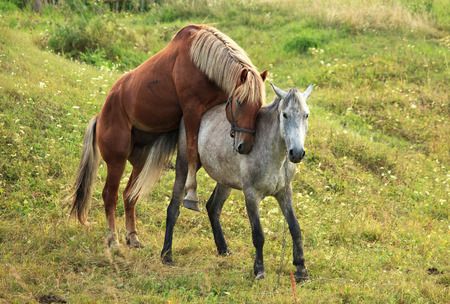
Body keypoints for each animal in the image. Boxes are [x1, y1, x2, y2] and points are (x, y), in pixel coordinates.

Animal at [70, 23, 268, 247]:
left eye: (259, 106)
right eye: (240, 102)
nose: (245, 145)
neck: (200, 64)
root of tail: (100, 117)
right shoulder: (191, 111)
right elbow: (192, 152)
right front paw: (191, 195)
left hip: (140, 160)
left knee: (129, 194)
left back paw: (132, 236)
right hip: (116, 161)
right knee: (109, 196)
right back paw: (113, 239)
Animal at [162, 83, 312, 282]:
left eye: (306, 115)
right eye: (285, 115)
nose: (296, 153)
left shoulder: (284, 192)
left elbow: (295, 228)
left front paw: (301, 270)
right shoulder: (251, 195)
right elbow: (258, 234)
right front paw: (259, 271)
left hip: (225, 181)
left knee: (213, 207)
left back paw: (223, 249)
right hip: (184, 166)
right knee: (173, 208)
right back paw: (166, 255)